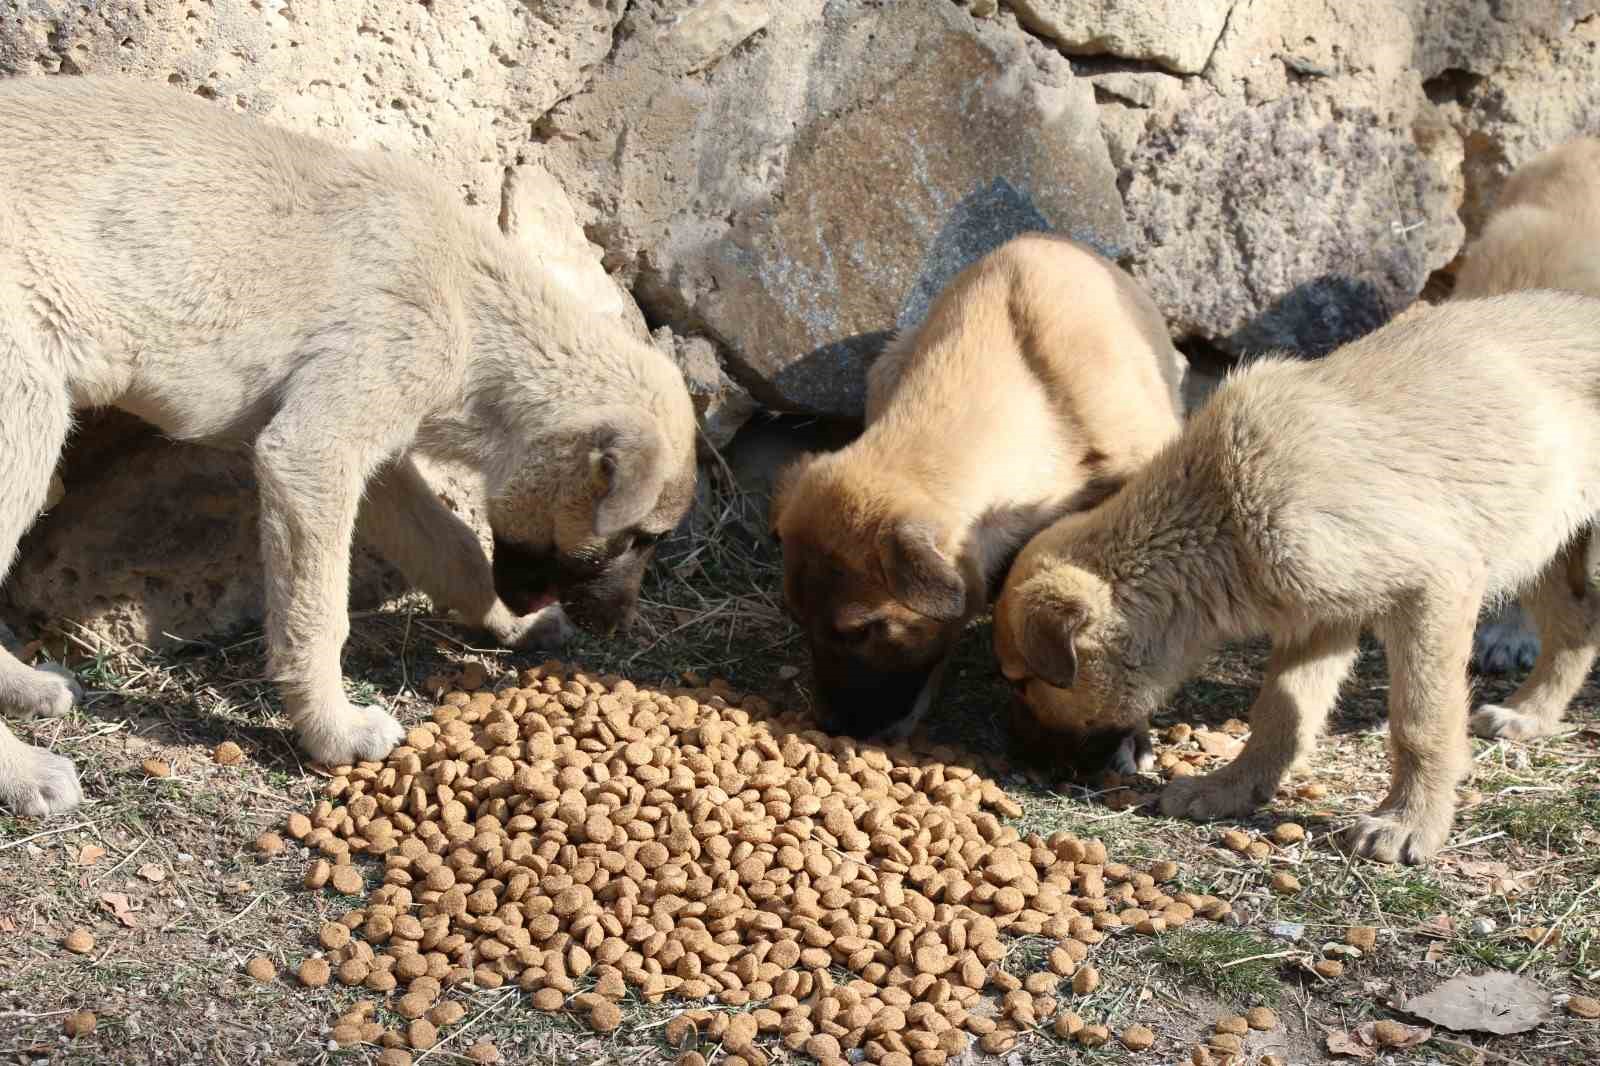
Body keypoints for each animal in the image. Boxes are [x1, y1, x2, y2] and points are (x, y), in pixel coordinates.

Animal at [1, 74, 700, 813]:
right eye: (637, 539)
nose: (619, 629)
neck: (472, 303)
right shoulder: (313, 453)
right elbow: (319, 615)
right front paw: (333, 732)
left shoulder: (381, 459)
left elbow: (452, 546)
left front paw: (506, 625)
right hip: (26, 410)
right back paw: (23, 772)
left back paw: (26, 686)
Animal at [992, 291, 1600, 864]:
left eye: (1022, 681)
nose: (1021, 766)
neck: (1219, 506)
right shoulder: (1317, 617)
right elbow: (1280, 716)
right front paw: (1229, 789)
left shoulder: (1433, 587)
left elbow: (1419, 720)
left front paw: (1409, 823)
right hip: (1545, 536)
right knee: (1576, 626)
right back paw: (1529, 715)